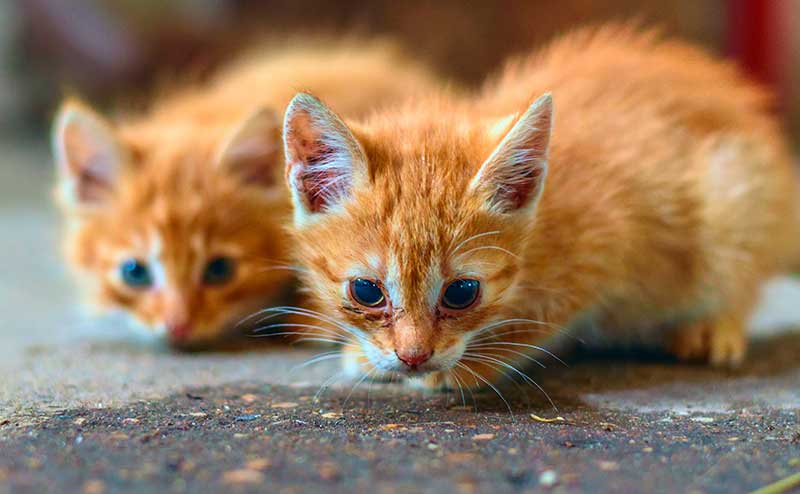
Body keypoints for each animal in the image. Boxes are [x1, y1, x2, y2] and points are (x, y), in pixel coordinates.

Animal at [282, 26, 800, 390]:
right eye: (366, 291)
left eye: (462, 292)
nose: (414, 357)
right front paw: (369, 355)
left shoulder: (610, 242)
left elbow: (545, 322)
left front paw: (474, 363)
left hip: (735, 193)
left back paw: (714, 324)